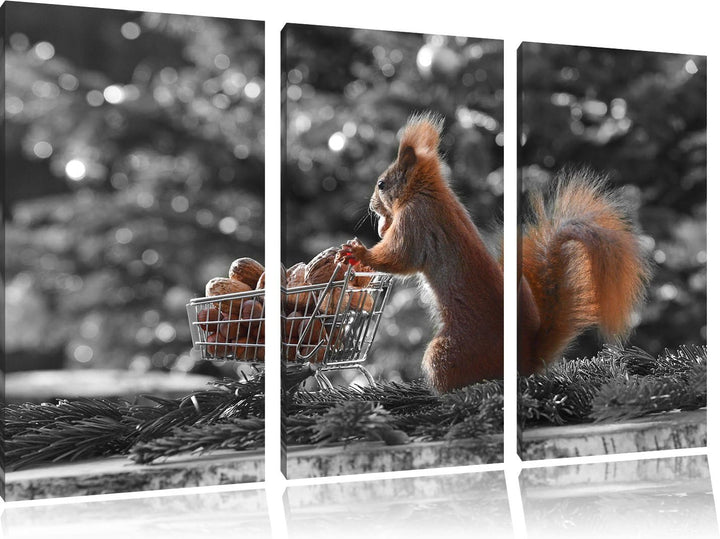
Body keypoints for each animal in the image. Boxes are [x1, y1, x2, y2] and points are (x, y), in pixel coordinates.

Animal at [337, 112, 650, 393]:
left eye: (382, 185)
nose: (372, 206)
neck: (427, 192)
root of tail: (525, 361)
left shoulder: (417, 221)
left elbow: (399, 257)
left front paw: (360, 252)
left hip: (448, 352)